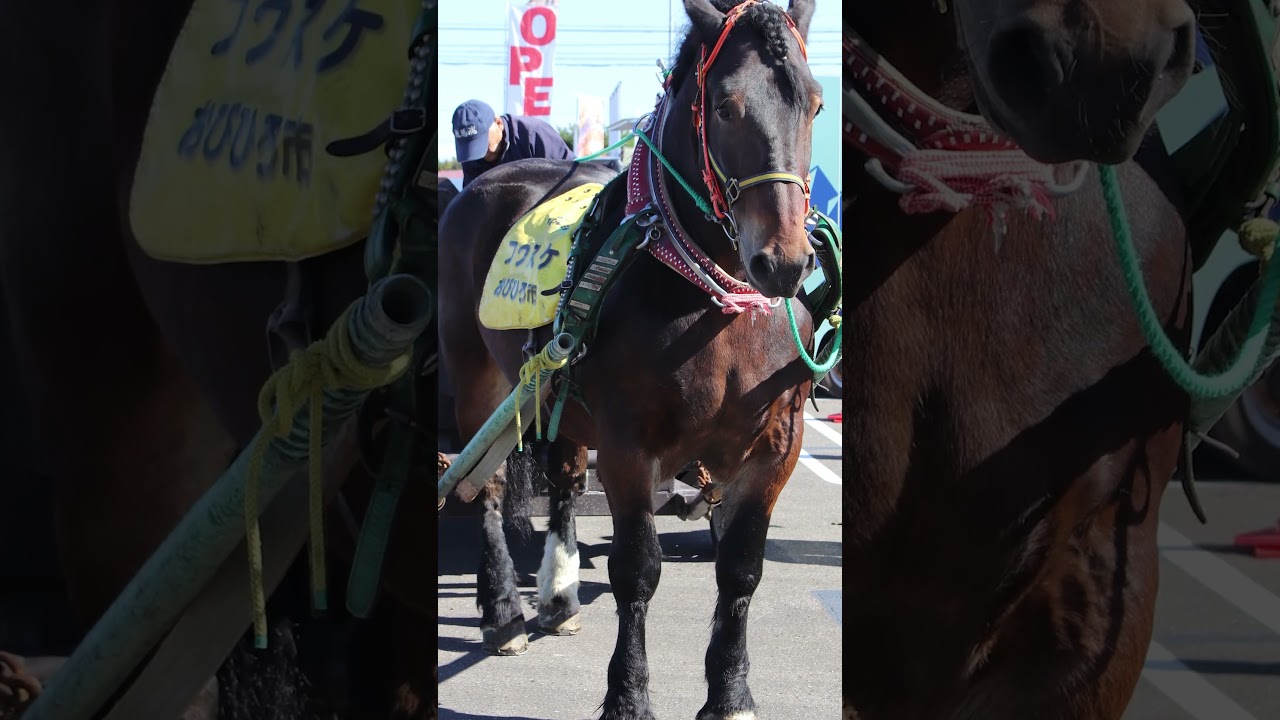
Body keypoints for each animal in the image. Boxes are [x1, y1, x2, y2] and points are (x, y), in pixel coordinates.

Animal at [438, 0, 827, 718]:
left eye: (814, 103)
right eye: (725, 106)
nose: (784, 261)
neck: (713, 300)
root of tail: (484, 182)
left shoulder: (776, 442)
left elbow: (742, 567)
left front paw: (731, 692)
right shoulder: (627, 440)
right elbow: (637, 569)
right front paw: (629, 694)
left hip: (555, 385)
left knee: (564, 477)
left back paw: (559, 595)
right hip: (479, 377)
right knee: (489, 484)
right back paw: (503, 611)